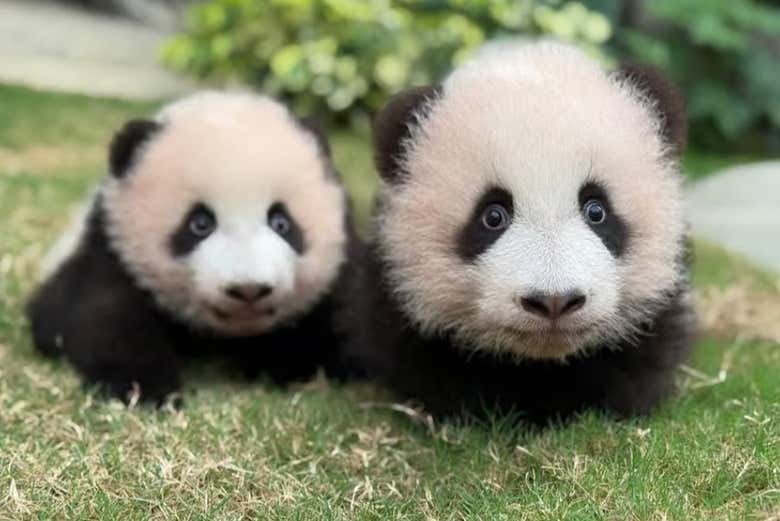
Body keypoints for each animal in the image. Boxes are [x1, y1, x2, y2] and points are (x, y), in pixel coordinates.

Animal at [28, 91, 359, 404]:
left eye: (281, 222)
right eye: (200, 223)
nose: (248, 289)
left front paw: (279, 361)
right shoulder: (113, 246)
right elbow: (106, 315)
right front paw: (146, 390)